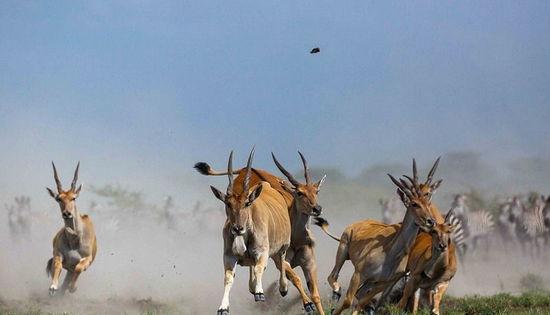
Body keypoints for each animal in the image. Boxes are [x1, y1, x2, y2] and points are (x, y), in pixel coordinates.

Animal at [45, 163, 97, 296]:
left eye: (73, 198)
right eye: (59, 199)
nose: (67, 213)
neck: (75, 239)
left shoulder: (87, 259)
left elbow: (79, 268)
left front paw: (73, 288)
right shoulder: (58, 254)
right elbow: (57, 265)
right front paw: (53, 286)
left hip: (71, 269)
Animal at [197, 152, 330, 314]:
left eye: (316, 191)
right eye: (299, 193)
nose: (317, 208)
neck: (297, 238)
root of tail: (244, 169)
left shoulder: (309, 262)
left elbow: (315, 294)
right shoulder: (278, 259)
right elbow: (295, 278)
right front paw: (306, 303)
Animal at [314, 159, 444, 314]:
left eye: (428, 201)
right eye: (414, 204)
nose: (431, 221)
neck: (391, 253)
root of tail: (356, 224)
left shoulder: (382, 283)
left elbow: (362, 302)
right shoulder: (359, 274)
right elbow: (347, 301)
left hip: (370, 282)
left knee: (359, 295)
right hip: (343, 252)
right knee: (332, 277)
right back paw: (336, 292)